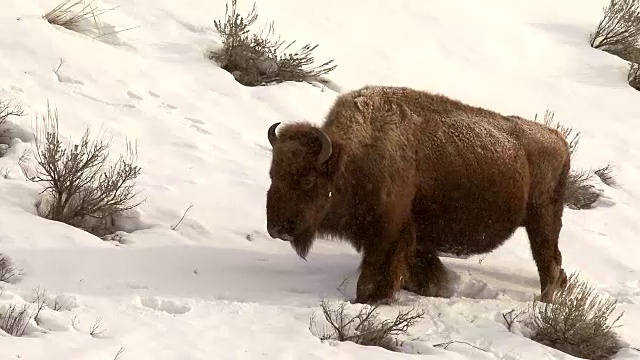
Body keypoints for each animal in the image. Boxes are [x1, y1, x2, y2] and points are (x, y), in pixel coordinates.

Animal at [264, 86, 568, 306]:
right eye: (273, 174)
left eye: (306, 180)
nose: (278, 228)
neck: (353, 158)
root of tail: (559, 140)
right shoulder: (414, 240)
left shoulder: (389, 233)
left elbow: (377, 273)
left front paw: (371, 300)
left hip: (542, 220)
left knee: (548, 261)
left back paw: (545, 302)